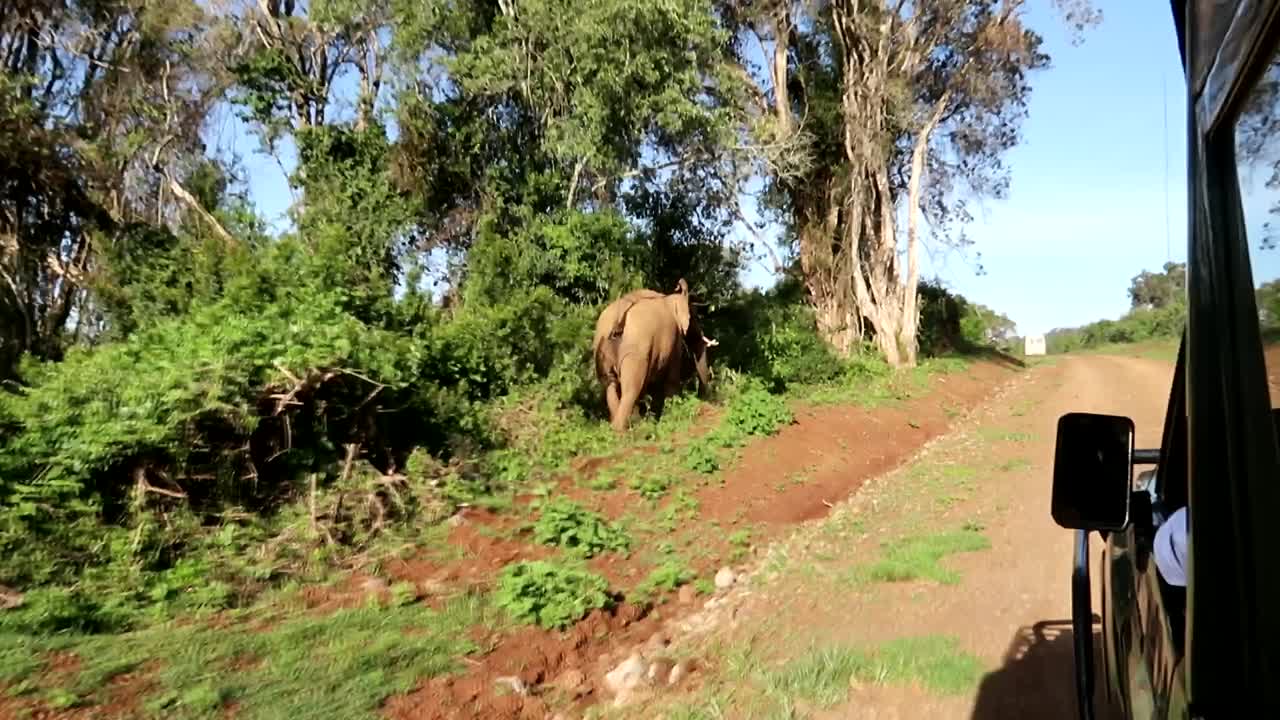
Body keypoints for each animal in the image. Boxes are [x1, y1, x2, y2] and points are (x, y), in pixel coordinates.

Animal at [593, 279, 714, 431]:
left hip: (602, 350)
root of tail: (618, 317)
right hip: (635, 353)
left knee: (610, 385)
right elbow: (671, 377)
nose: (704, 399)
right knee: (632, 388)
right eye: (695, 317)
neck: (670, 297)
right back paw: (629, 428)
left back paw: (618, 427)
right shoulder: (675, 340)